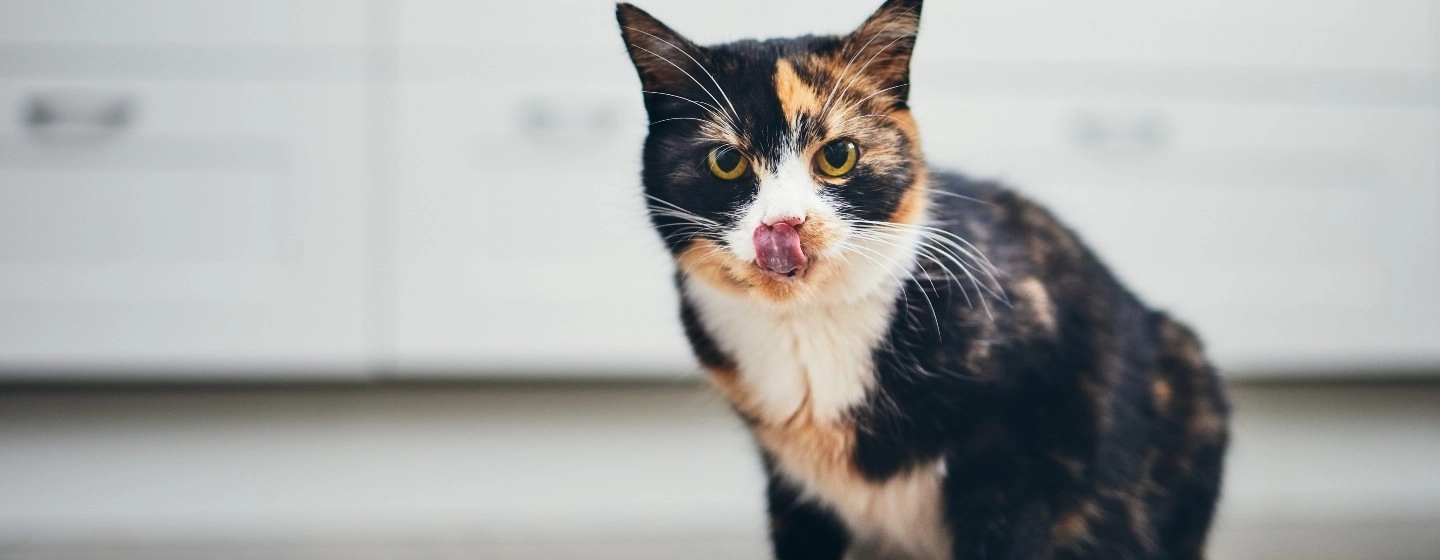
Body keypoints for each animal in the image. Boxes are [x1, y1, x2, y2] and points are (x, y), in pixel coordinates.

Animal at [613, 2, 1232, 555]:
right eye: (726, 162)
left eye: (838, 155)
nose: (783, 224)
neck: (810, 325)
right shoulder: (794, 489)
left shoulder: (1025, 448)